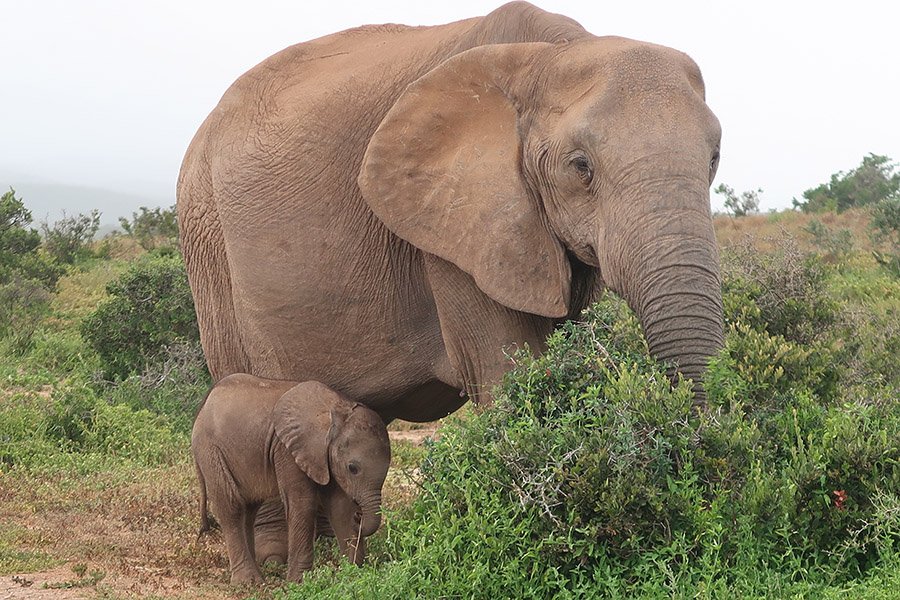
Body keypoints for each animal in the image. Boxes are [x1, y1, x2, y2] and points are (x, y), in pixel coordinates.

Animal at [176, 2, 724, 422]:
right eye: (581, 167)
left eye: (714, 159)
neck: (551, 53)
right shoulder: (452, 233)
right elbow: (506, 375)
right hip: (206, 236)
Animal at [193, 372, 390, 584]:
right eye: (352, 468)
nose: (359, 516)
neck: (336, 409)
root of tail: (202, 407)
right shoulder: (287, 448)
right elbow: (303, 503)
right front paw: (299, 582)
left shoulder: (322, 456)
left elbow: (339, 506)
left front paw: (352, 575)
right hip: (210, 451)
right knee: (232, 507)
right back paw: (249, 583)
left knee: (249, 509)